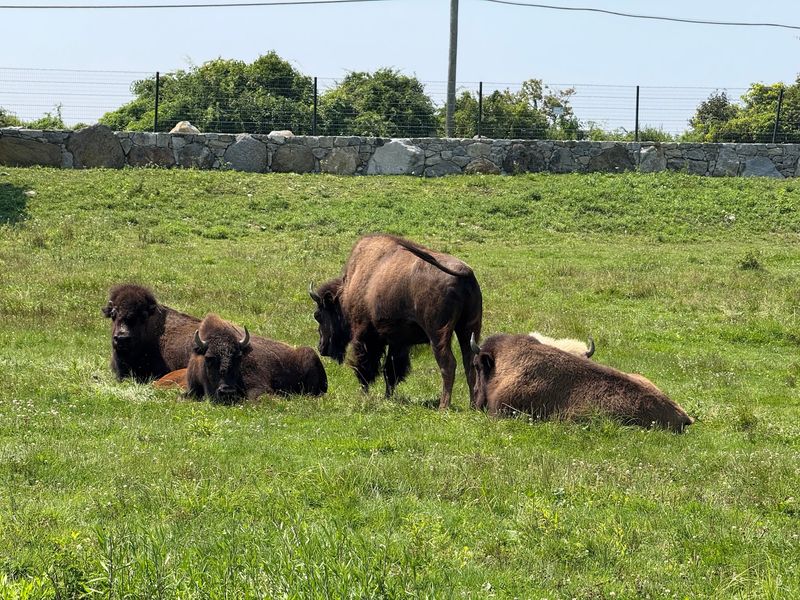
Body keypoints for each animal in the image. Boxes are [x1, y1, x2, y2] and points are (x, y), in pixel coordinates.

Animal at [310, 234, 483, 409]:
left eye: (318, 315)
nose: (321, 347)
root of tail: (465, 272)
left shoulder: (365, 336)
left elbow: (364, 368)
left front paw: (364, 395)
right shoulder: (398, 342)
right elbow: (391, 370)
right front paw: (388, 397)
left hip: (438, 334)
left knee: (448, 364)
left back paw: (443, 406)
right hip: (468, 329)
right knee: (469, 362)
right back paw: (473, 405)